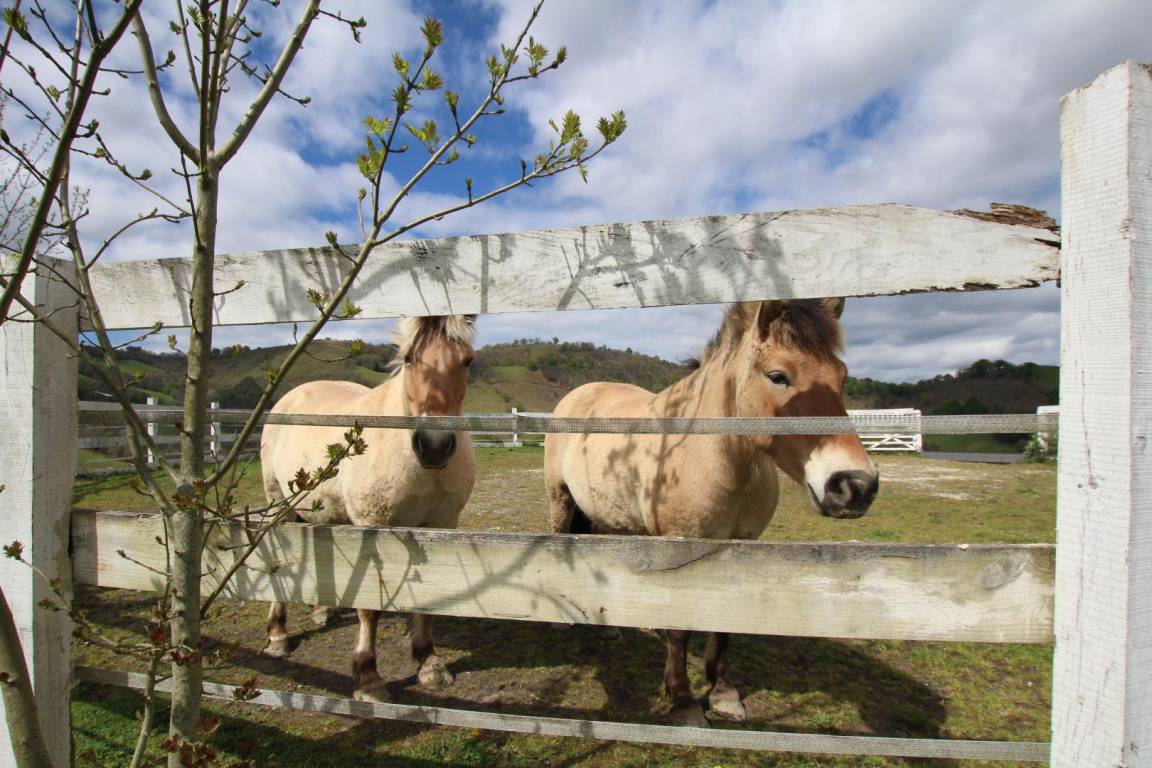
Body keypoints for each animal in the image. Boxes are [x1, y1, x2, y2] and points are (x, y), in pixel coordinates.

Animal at [259, 314, 477, 703]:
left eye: (467, 360)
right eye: (409, 359)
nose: (434, 446)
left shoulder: (440, 526)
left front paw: (429, 663)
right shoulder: (370, 525)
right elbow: (369, 605)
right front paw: (368, 678)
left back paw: (322, 611)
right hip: (276, 505)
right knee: (276, 561)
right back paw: (278, 635)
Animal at [544, 298, 879, 727]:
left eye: (841, 376)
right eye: (778, 376)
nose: (855, 486)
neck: (712, 458)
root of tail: (582, 392)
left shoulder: (739, 545)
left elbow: (722, 620)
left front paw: (722, 694)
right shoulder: (680, 543)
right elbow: (680, 629)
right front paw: (683, 701)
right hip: (561, 500)